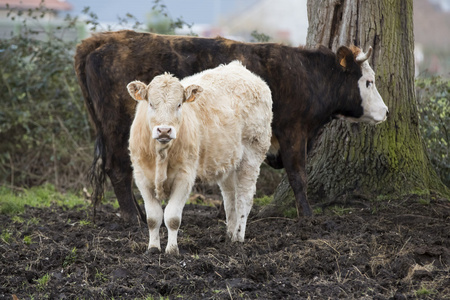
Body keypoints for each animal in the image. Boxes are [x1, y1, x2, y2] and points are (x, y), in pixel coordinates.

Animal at [74, 30, 386, 223]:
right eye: (368, 81)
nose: (385, 111)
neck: (306, 75)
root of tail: (102, 40)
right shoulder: (293, 132)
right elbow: (298, 176)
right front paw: (307, 216)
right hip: (117, 127)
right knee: (117, 169)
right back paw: (133, 218)